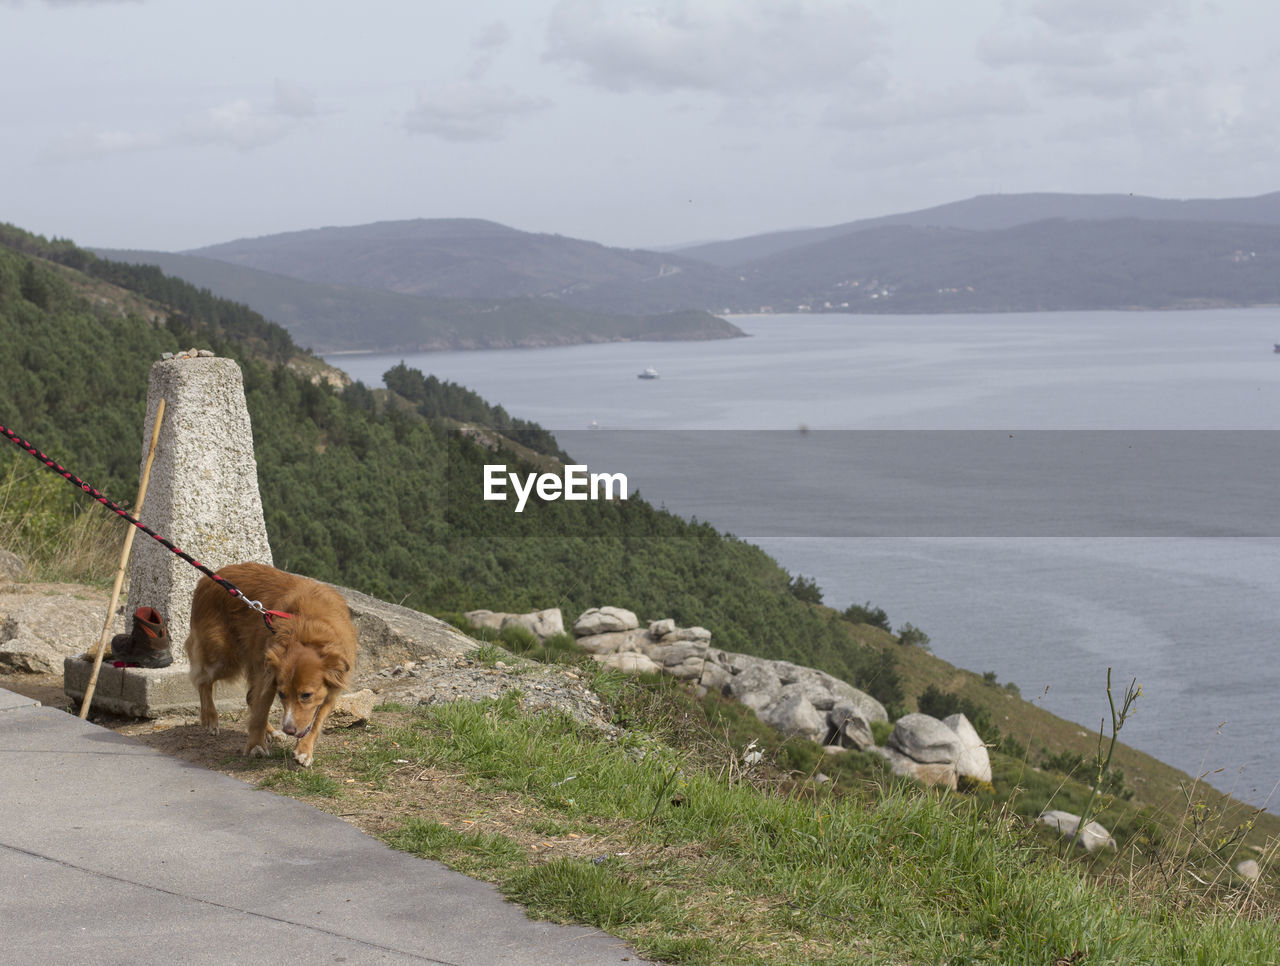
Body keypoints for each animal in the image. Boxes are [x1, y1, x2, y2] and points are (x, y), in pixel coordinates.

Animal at [185, 562, 358, 767]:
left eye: (306, 695)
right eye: (281, 694)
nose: (289, 730)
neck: (309, 630)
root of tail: (208, 578)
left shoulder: (331, 690)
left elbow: (315, 722)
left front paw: (304, 751)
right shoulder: (268, 677)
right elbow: (260, 713)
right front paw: (255, 747)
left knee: (247, 696)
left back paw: (271, 732)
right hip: (224, 657)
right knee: (203, 680)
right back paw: (210, 719)